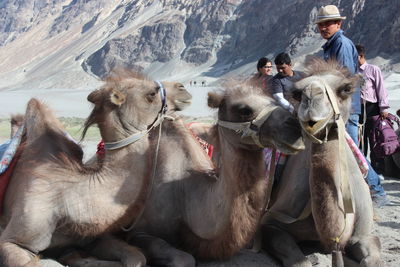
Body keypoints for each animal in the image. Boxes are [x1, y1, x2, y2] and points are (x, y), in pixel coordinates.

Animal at [0, 71, 206, 267]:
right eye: (151, 93)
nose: (182, 89)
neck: (67, 201)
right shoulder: (13, 240)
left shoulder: (94, 237)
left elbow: (136, 257)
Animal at [260, 59, 382, 267]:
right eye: (297, 93)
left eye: (346, 89)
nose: (311, 97)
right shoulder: (271, 222)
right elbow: (299, 260)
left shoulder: (363, 234)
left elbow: (371, 257)